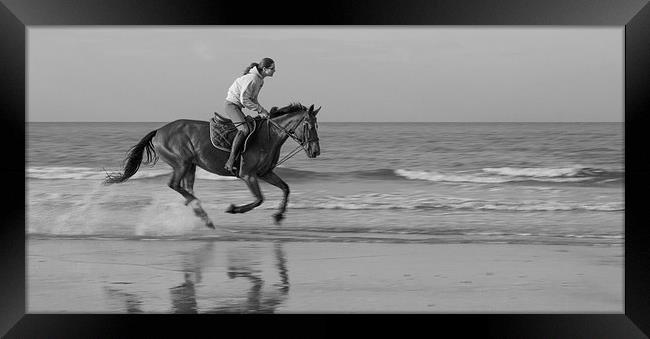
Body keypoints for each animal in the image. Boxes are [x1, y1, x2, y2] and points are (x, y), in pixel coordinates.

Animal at [102, 103, 322, 228]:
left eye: (317, 125)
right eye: (308, 125)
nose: (315, 152)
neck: (268, 136)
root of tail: (159, 131)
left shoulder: (265, 173)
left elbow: (286, 188)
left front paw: (278, 216)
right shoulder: (249, 175)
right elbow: (259, 199)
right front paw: (233, 209)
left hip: (190, 166)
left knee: (186, 188)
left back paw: (200, 213)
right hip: (181, 163)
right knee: (175, 185)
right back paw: (201, 212)